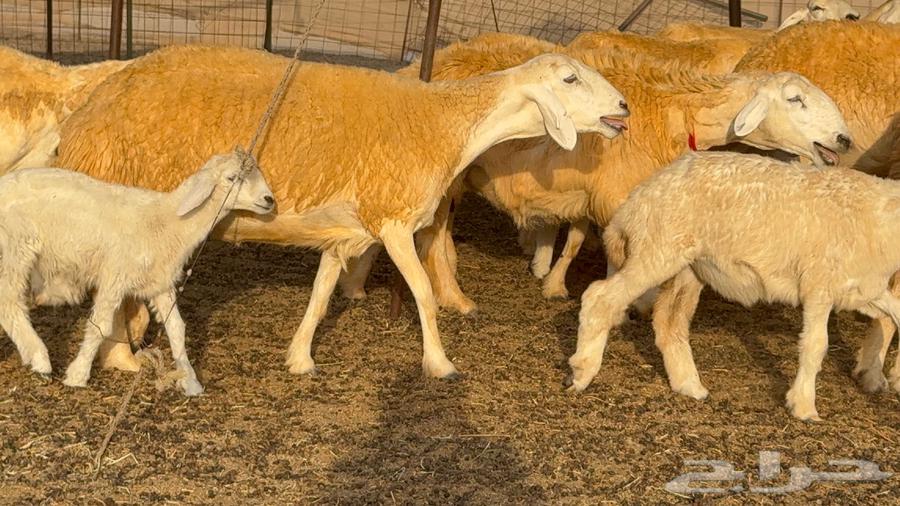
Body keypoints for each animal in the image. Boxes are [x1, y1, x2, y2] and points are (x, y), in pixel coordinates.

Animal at [0, 151, 276, 395]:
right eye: (232, 178)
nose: (269, 200)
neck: (166, 222)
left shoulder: (161, 282)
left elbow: (176, 327)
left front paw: (190, 380)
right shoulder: (115, 276)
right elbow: (100, 326)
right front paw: (78, 374)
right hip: (15, 248)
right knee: (9, 304)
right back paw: (40, 360)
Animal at [55, 45, 631, 379]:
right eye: (570, 80)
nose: (625, 108)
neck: (445, 125)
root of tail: (86, 113)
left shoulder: (346, 234)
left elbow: (321, 295)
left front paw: (299, 358)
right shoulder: (393, 220)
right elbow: (423, 293)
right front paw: (440, 363)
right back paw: (120, 356)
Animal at [384, 42, 851, 315]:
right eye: (795, 99)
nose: (845, 140)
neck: (675, 113)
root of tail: (422, 66)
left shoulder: (592, 193)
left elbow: (575, 241)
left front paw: (554, 284)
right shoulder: (616, 196)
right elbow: (619, 258)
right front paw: (629, 304)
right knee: (433, 234)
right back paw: (453, 296)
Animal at [566, 151, 900, 421]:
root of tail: (637, 199)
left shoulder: (861, 290)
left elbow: (892, 315)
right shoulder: (819, 285)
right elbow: (816, 345)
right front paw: (804, 406)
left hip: (690, 267)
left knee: (669, 322)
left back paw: (690, 385)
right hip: (658, 249)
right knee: (601, 297)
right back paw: (582, 372)